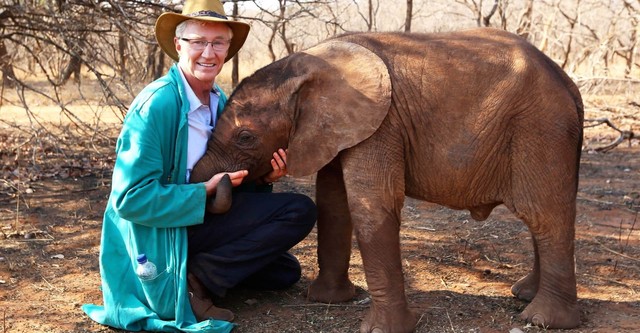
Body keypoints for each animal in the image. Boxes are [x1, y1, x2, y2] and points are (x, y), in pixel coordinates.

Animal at [191, 28, 584, 332]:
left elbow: (370, 204)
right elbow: (333, 202)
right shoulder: (338, 127)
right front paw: (329, 300)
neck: (310, 65)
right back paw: (525, 295)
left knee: (545, 214)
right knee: (540, 217)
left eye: (245, 138)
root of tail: (567, 81)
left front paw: (382, 329)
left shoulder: (381, 124)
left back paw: (542, 319)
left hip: (541, 128)